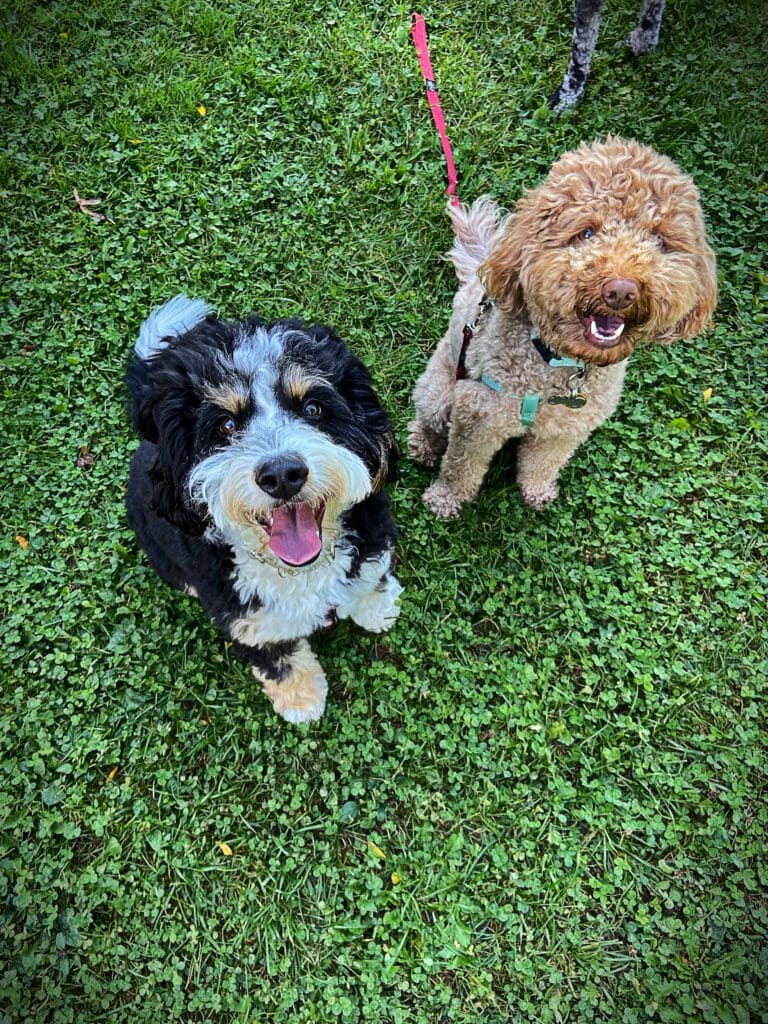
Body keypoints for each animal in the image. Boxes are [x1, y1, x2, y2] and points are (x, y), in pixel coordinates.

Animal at [126, 296, 403, 724]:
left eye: (313, 408)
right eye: (225, 424)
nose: (282, 475)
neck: (303, 573)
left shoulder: (372, 536)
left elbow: (370, 575)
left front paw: (378, 609)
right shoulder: (247, 617)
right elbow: (279, 659)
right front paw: (302, 699)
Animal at [411, 135, 720, 516]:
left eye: (660, 240)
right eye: (586, 232)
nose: (622, 290)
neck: (558, 361)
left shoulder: (567, 428)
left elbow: (543, 462)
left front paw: (536, 490)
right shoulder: (477, 415)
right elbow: (459, 466)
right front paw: (445, 499)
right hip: (438, 391)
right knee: (428, 418)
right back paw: (424, 444)